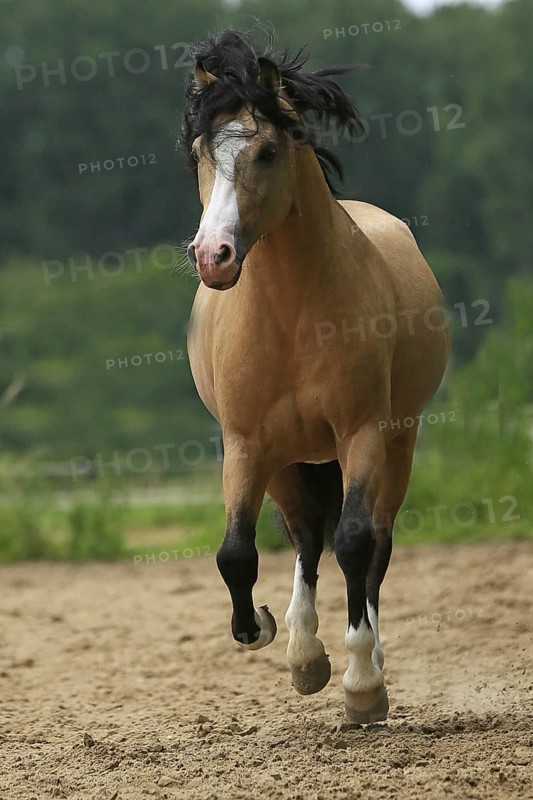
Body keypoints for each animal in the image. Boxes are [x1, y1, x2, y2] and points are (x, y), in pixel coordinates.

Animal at [181, 30, 449, 723]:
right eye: (199, 152)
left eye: (268, 151)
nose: (213, 256)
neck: (294, 313)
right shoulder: (246, 445)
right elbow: (236, 553)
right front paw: (262, 629)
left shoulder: (362, 433)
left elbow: (354, 543)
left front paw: (362, 685)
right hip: (286, 459)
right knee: (304, 536)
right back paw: (304, 654)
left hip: (397, 444)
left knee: (374, 546)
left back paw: (363, 662)